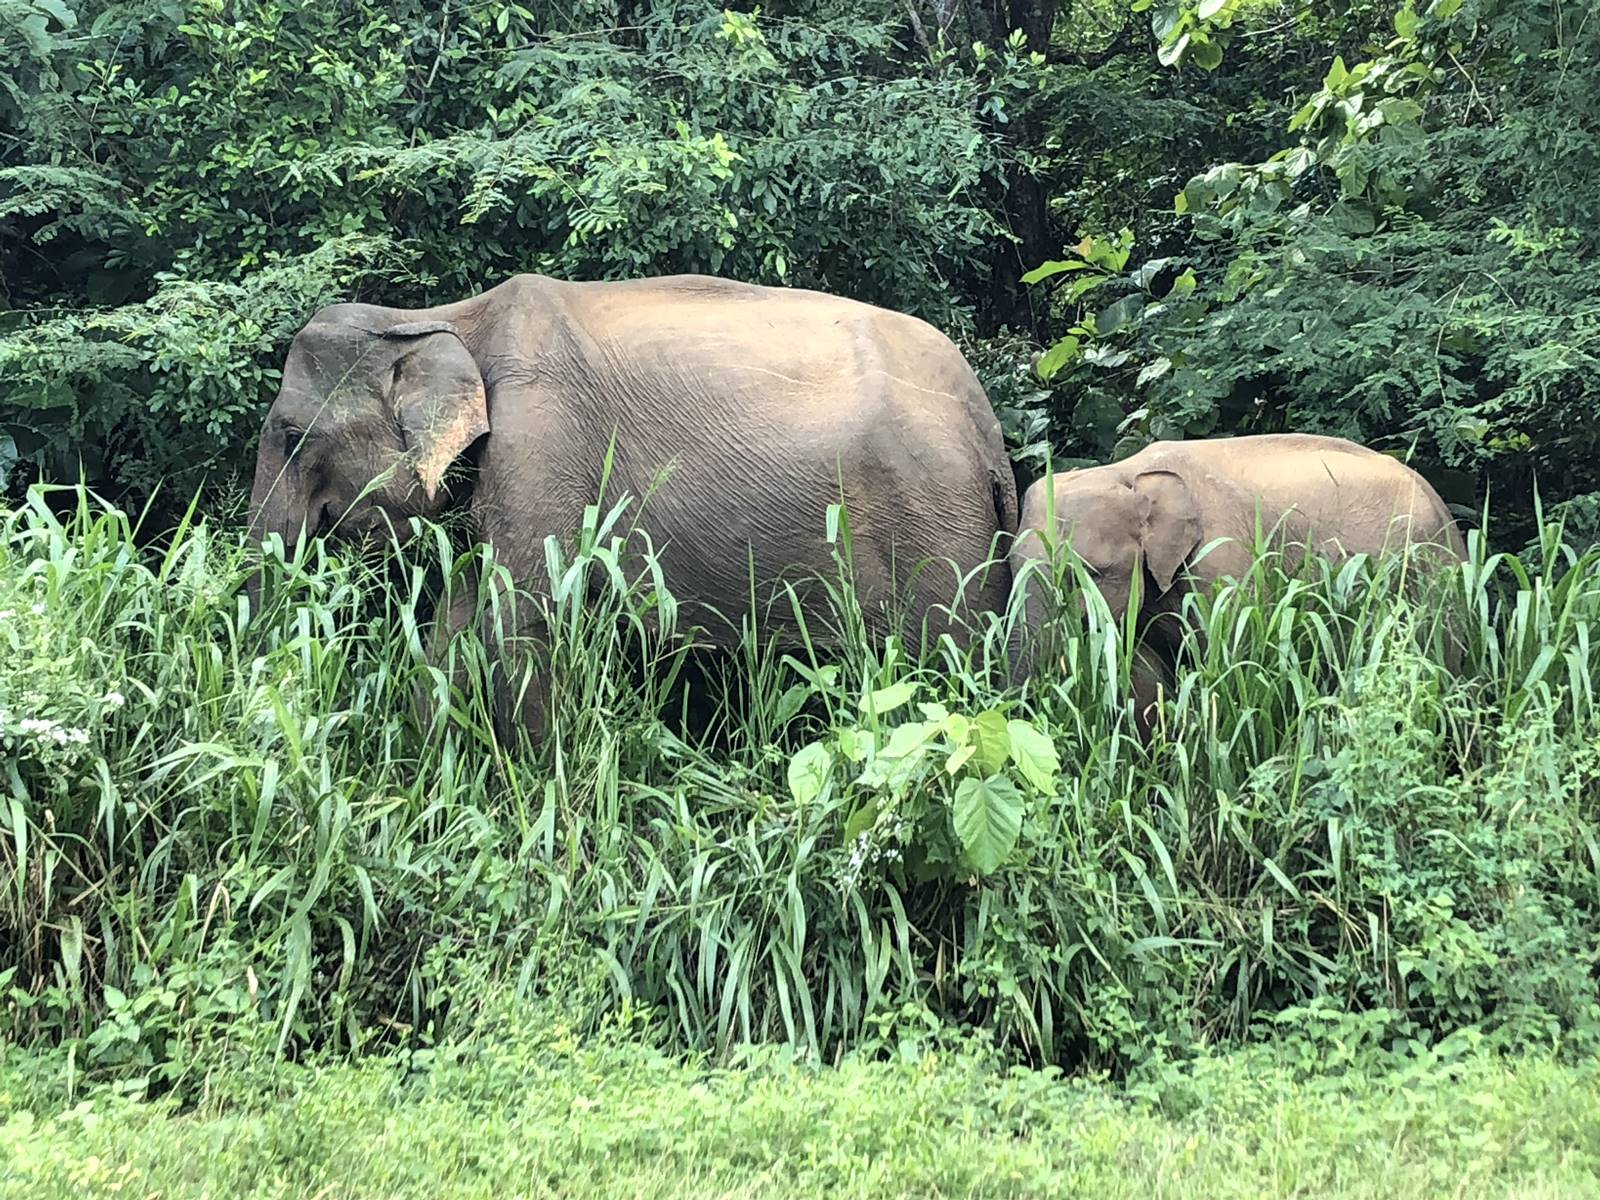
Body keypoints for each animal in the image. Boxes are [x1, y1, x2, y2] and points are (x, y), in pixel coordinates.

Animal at [245, 272, 1018, 742]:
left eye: (290, 436)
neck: (441, 315)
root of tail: (986, 426)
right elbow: (460, 622)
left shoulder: (541, 443)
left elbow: (526, 622)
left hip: (932, 526)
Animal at [1008, 433, 1467, 729]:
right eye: (1011, 567)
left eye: (1088, 574)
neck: (1125, 474)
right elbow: (1146, 674)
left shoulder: (1221, 560)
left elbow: (1230, 664)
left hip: (1425, 574)